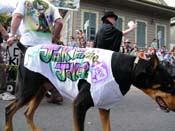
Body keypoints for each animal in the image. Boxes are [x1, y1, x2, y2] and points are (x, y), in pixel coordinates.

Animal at [4, 42, 175, 130]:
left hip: (40, 90)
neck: (128, 68)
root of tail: (26, 48)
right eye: (168, 85)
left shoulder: (104, 106)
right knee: (8, 110)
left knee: (28, 114)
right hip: (28, 91)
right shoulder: (79, 105)